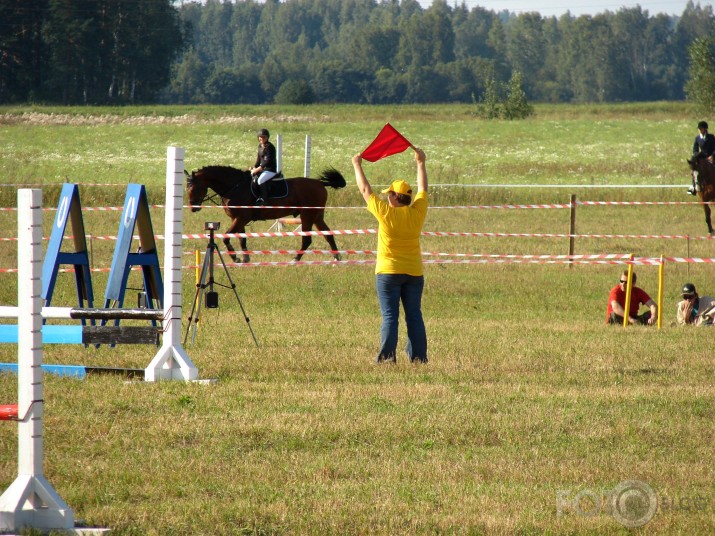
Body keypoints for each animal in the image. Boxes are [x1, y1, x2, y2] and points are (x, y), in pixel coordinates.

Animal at [186, 165, 346, 262]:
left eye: (195, 188)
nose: (193, 208)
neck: (234, 186)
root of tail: (320, 183)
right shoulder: (238, 219)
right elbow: (242, 239)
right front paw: (245, 259)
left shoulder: (241, 218)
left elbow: (226, 237)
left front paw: (235, 258)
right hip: (317, 216)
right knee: (328, 234)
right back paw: (337, 258)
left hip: (307, 216)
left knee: (307, 239)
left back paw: (295, 259)